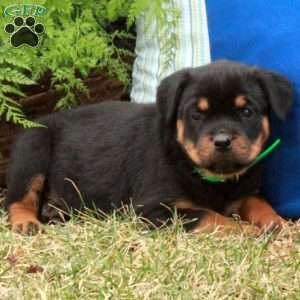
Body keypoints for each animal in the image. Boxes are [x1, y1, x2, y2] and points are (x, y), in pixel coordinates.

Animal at [4, 60, 294, 234]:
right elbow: (211, 217)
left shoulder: (246, 191)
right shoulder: (154, 208)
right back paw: (26, 223)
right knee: (16, 198)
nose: (222, 141)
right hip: (33, 148)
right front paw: (249, 232)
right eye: (196, 115)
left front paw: (278, 224)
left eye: (246, 111)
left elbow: (260, 204)